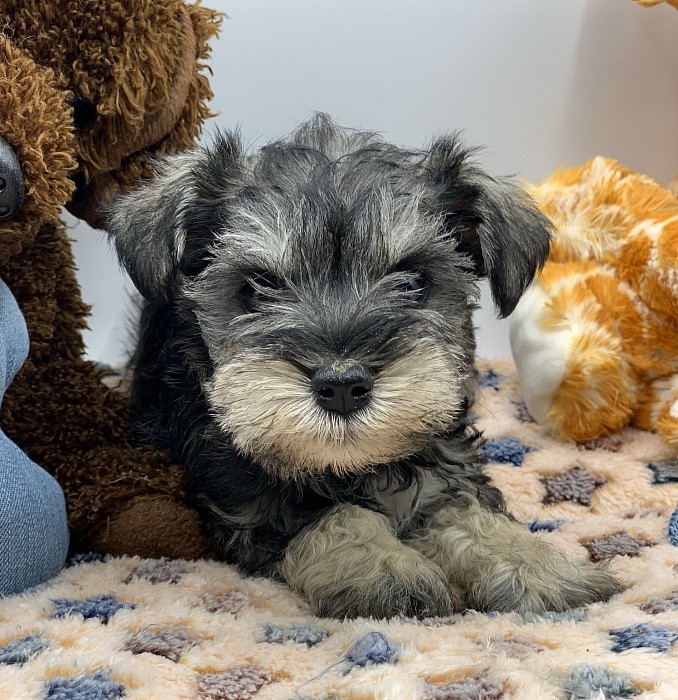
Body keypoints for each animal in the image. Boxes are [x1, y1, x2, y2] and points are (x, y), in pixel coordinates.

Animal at [109, 115, 624, 616]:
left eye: (414, 280)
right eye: (256, 288)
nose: (341, 386)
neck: (353, 467)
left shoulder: (443, 463)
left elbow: (467, 511)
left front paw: (538, 565)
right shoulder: (247, 492)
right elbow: (334, 514)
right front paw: (385, 569)